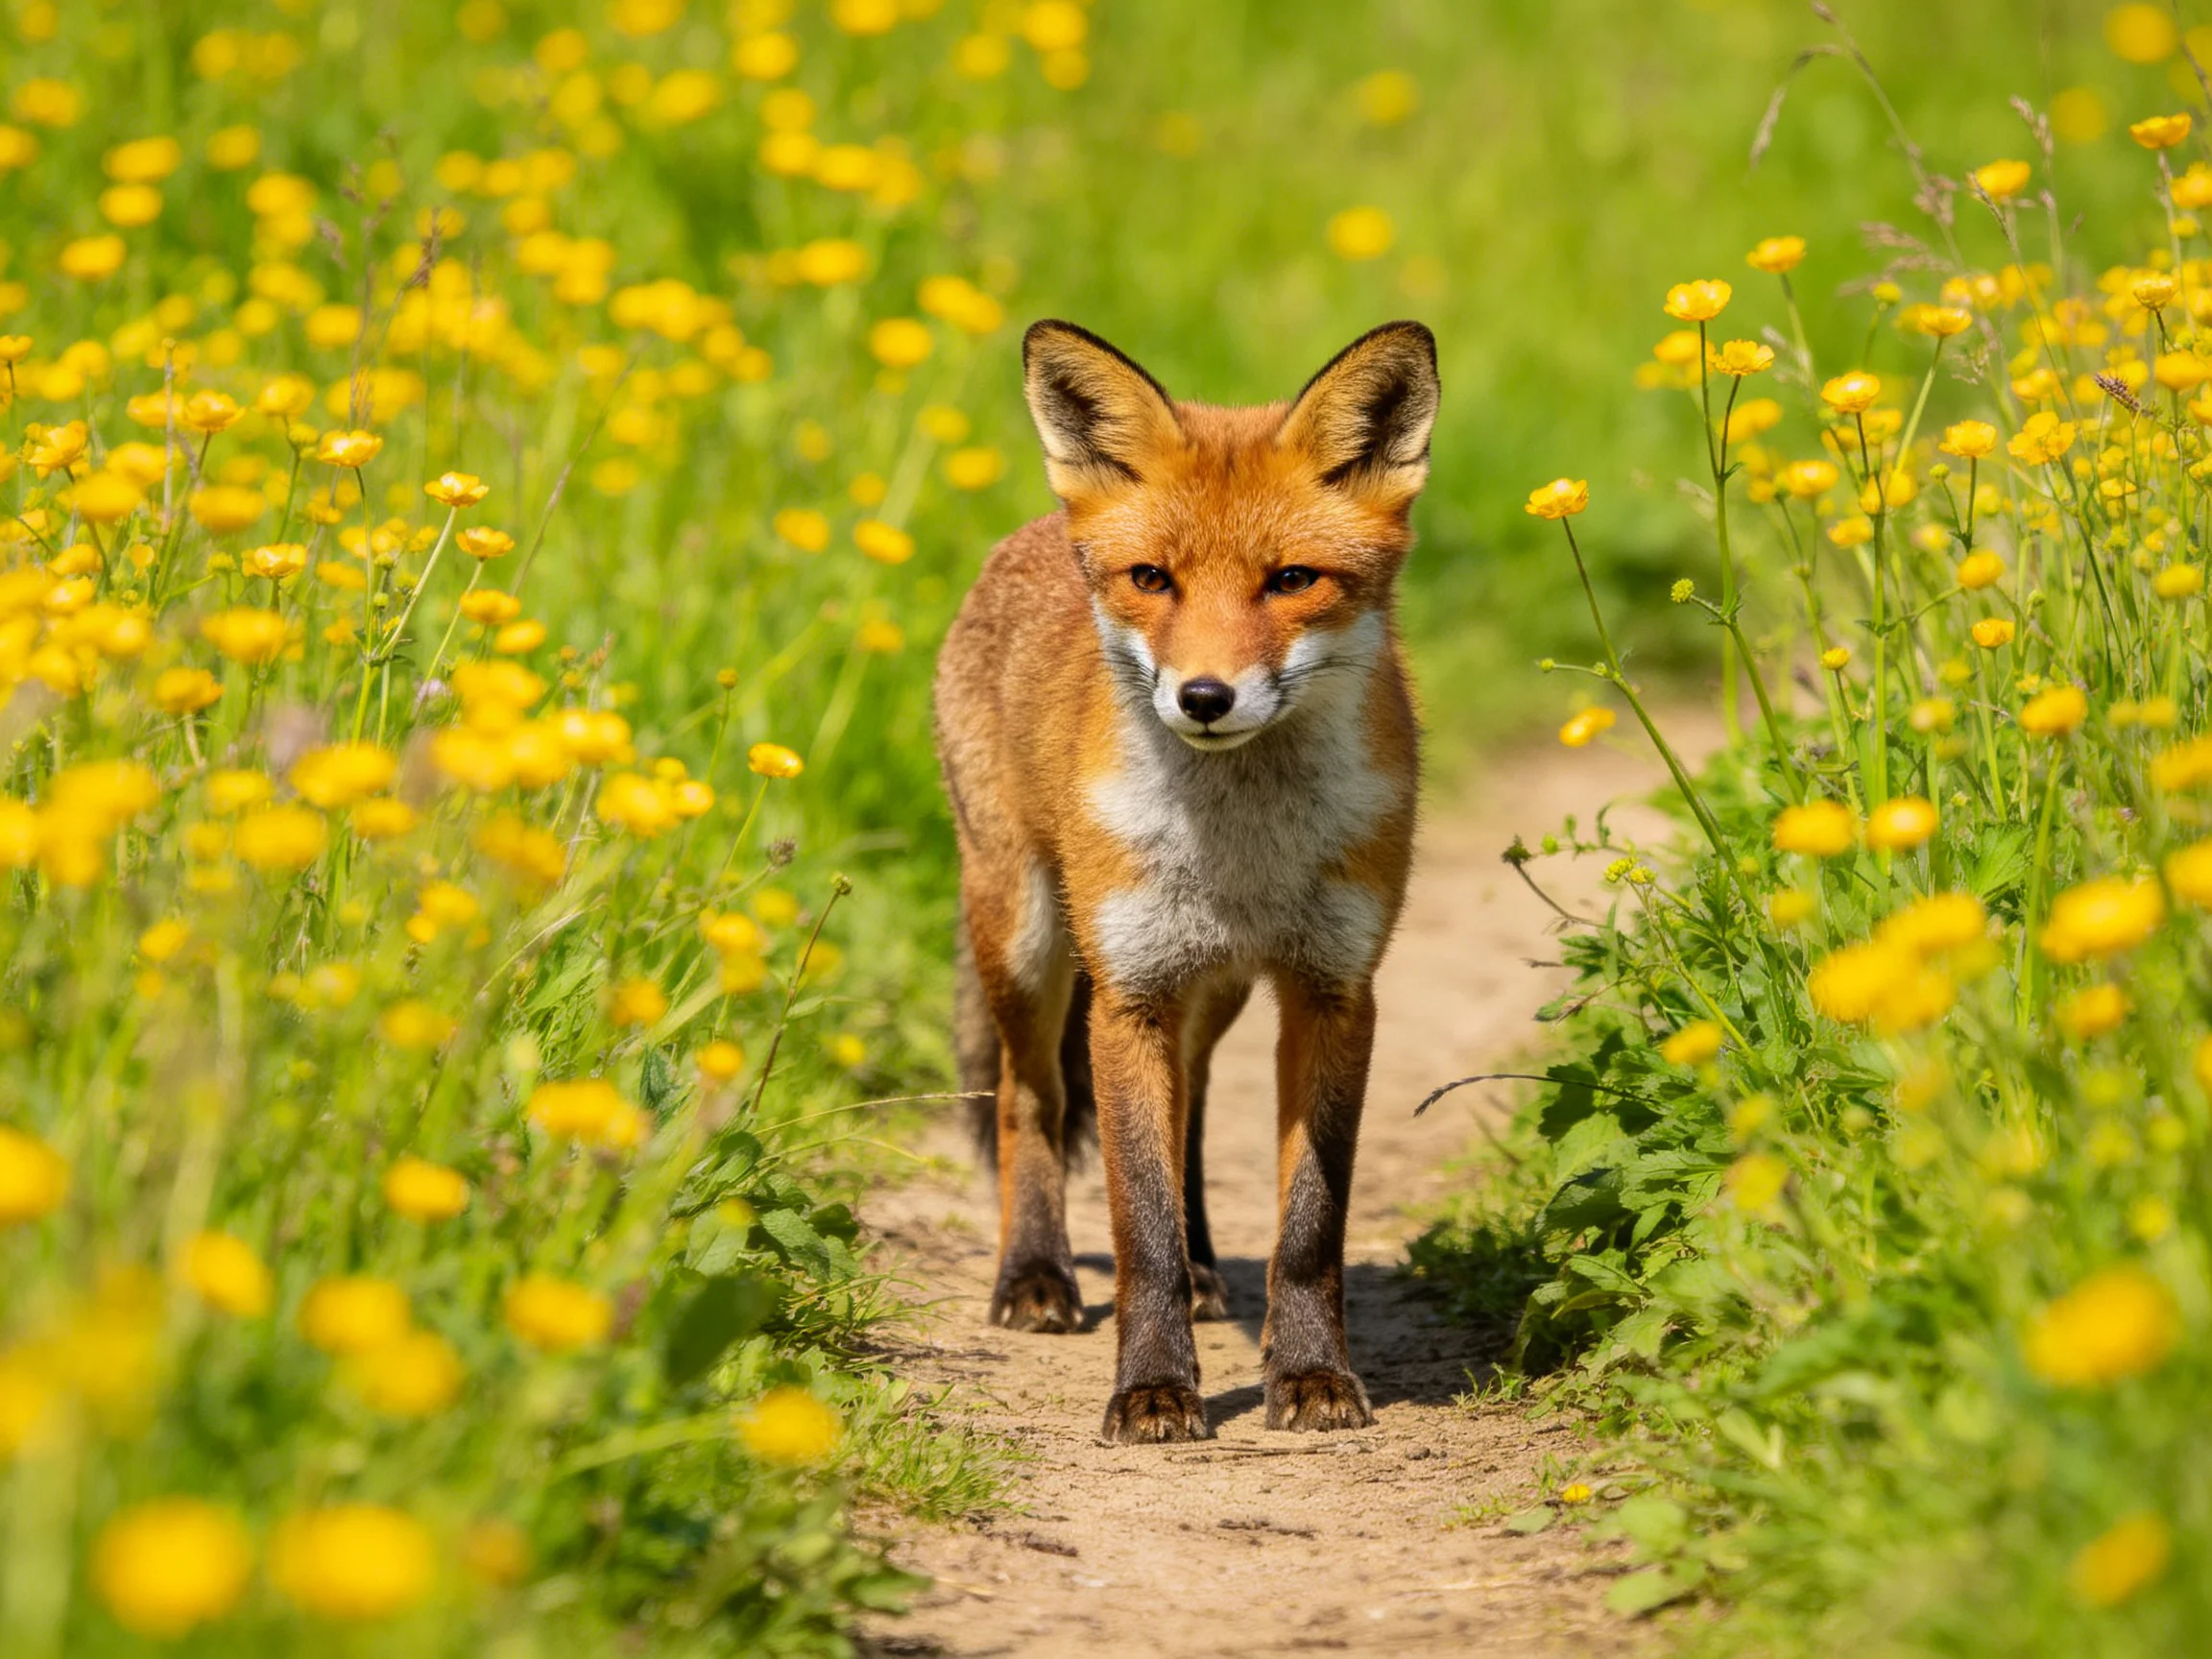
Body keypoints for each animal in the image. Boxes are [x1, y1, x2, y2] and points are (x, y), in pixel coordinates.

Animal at [933, 318, 1438, 1444]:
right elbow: (1140, 1226)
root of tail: (1032, 527)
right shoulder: (1127, 995)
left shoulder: (1335, 990)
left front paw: (1310, 1374)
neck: (1241, 846)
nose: (1204, 697)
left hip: (1212, 991)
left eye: (1292, 580)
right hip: (1029, 941)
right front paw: (1154, 1389)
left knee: (1194, 1112)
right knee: (1028, 1103)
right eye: (1153, 578)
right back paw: (1034, 1276)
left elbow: (1309, 1226)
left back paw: (1211, 1273)